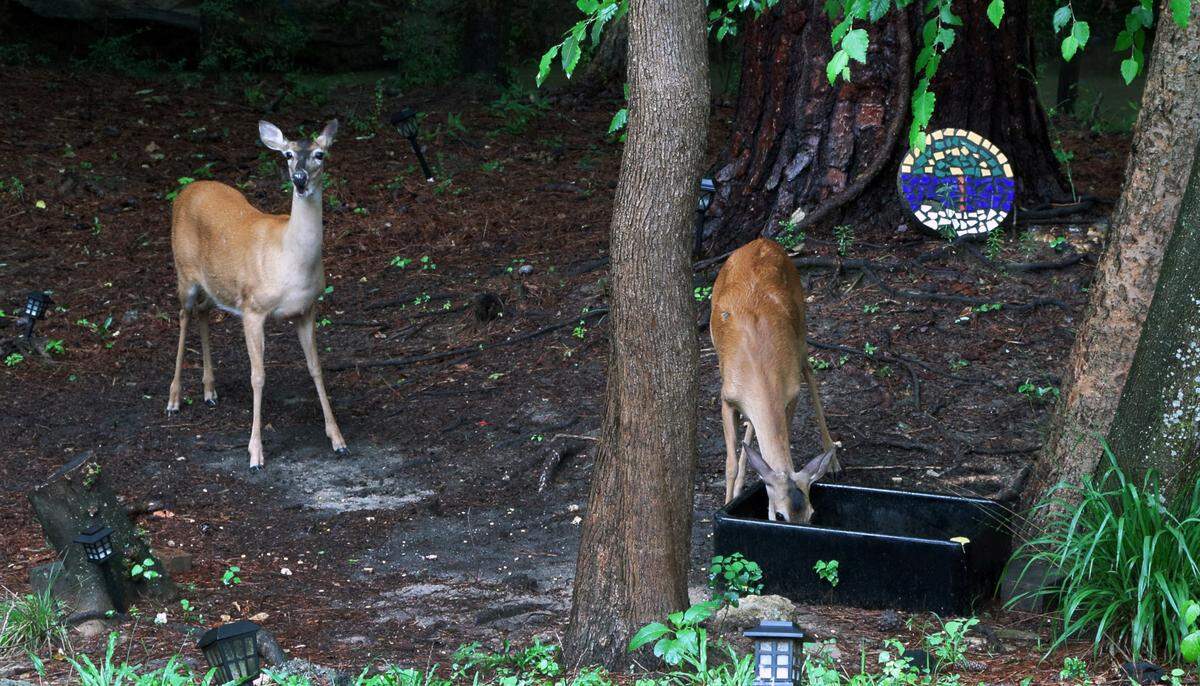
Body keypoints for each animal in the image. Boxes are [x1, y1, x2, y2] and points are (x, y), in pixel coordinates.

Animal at [166, 120, 347, 470]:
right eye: (288, 155)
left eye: (320, 154)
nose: (299, 179)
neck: (290, 258)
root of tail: (187, 190)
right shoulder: (253, 308)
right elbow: (258, 376)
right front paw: (255, 453)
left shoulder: (307, 309)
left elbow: (316, 367)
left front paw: (338, 440)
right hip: (184, 272)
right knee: (182, 316)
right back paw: (174, 398)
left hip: (214, 284)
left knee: (204, 312)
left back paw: (210, 391)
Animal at [710, 237, 839, 523]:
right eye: (779, 515)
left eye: (811, 513)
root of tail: (763, 241)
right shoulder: (727, 396)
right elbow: (730, 463)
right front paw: (728, 501)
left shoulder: (791, 393)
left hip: (800, 322)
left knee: (809, 372)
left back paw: (832, 457)